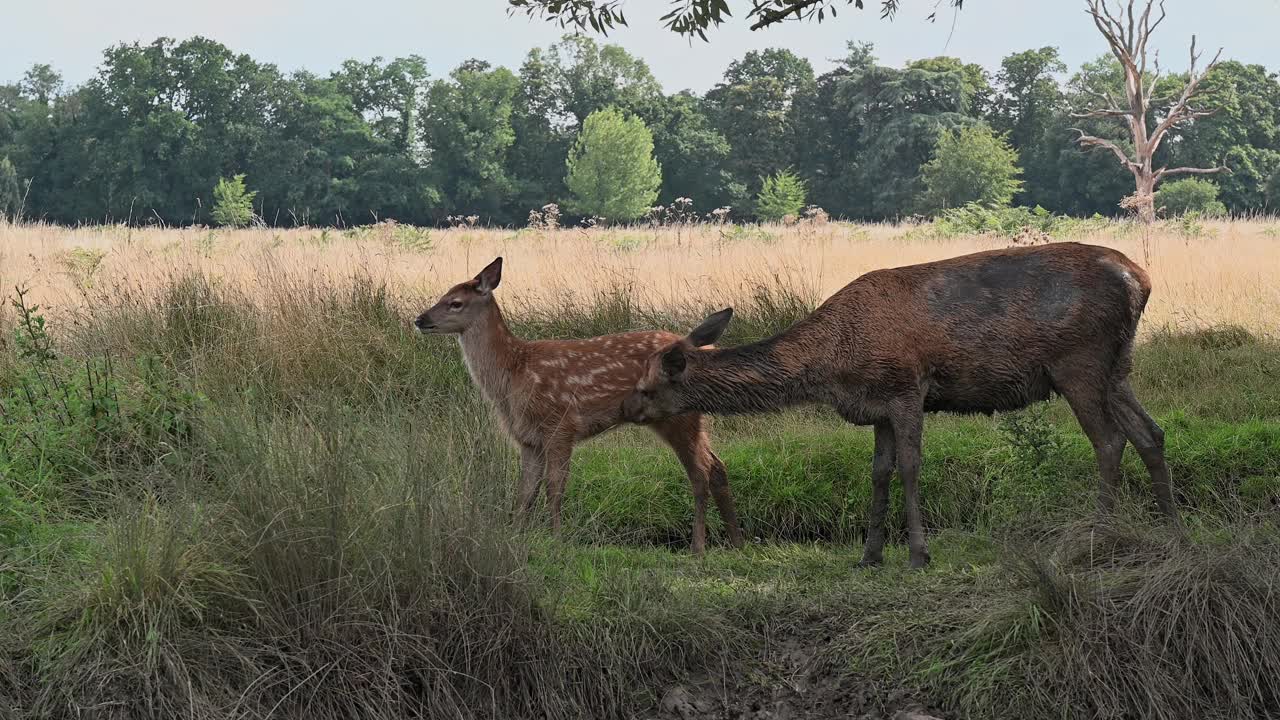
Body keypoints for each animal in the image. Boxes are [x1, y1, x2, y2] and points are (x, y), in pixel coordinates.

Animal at [414, 257, 747, 556]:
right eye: (442, 295)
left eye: (455, 303)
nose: (420, 319)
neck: (513, 375)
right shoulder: (528, 439)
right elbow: (525, 492)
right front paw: (516, 535)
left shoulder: (560, 424)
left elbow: (555, 488)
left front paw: (557, 540)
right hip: (690, 418)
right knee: (717, 465)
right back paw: (736, 542)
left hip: (677, 416)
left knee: (700, 473)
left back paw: (698, 547)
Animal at [622, 240, 1177, 566]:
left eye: (649, 386)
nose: (626, 409)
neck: (830, 364)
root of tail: (1143, 280)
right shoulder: (877, 406)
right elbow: (879, 471)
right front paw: (869, 553)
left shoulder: (908, 387)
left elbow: (910, 466)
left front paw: (917, 552)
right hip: (1118, 364)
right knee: (1150, 432)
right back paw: (1172, 528)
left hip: (1079, 359)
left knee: (1109, 440)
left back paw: (1096, 535)